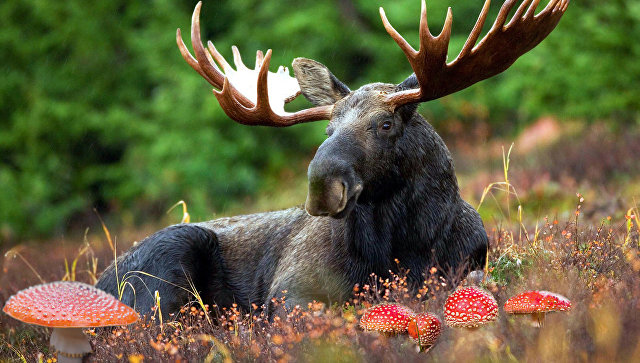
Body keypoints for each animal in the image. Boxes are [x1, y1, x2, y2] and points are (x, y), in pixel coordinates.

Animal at [94, 0, 564, 318]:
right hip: (163, 270)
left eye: (385, 124)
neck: (404, 248)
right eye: (328, 130)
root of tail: (98, 280)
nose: (322, 186)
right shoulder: (290, 289)